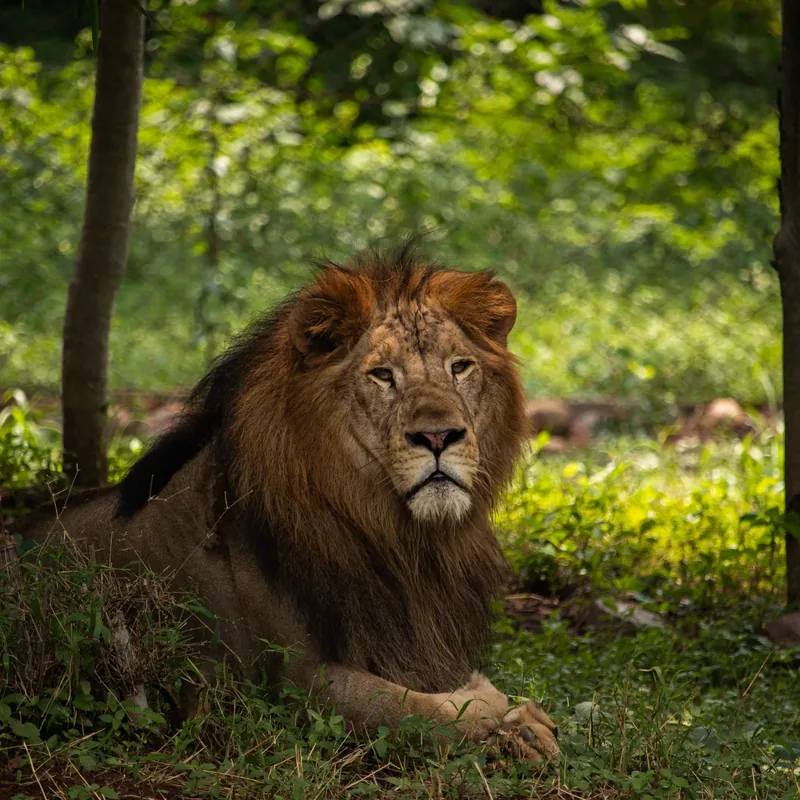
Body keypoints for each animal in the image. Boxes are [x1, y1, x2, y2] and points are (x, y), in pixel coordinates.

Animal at [21, 245, 558, 762]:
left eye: (459, 367)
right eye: (383, 375)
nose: (439, 436)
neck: (399, 539)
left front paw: (517, 717)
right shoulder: (290, 683)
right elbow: (415, 712)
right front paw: (504, 715)